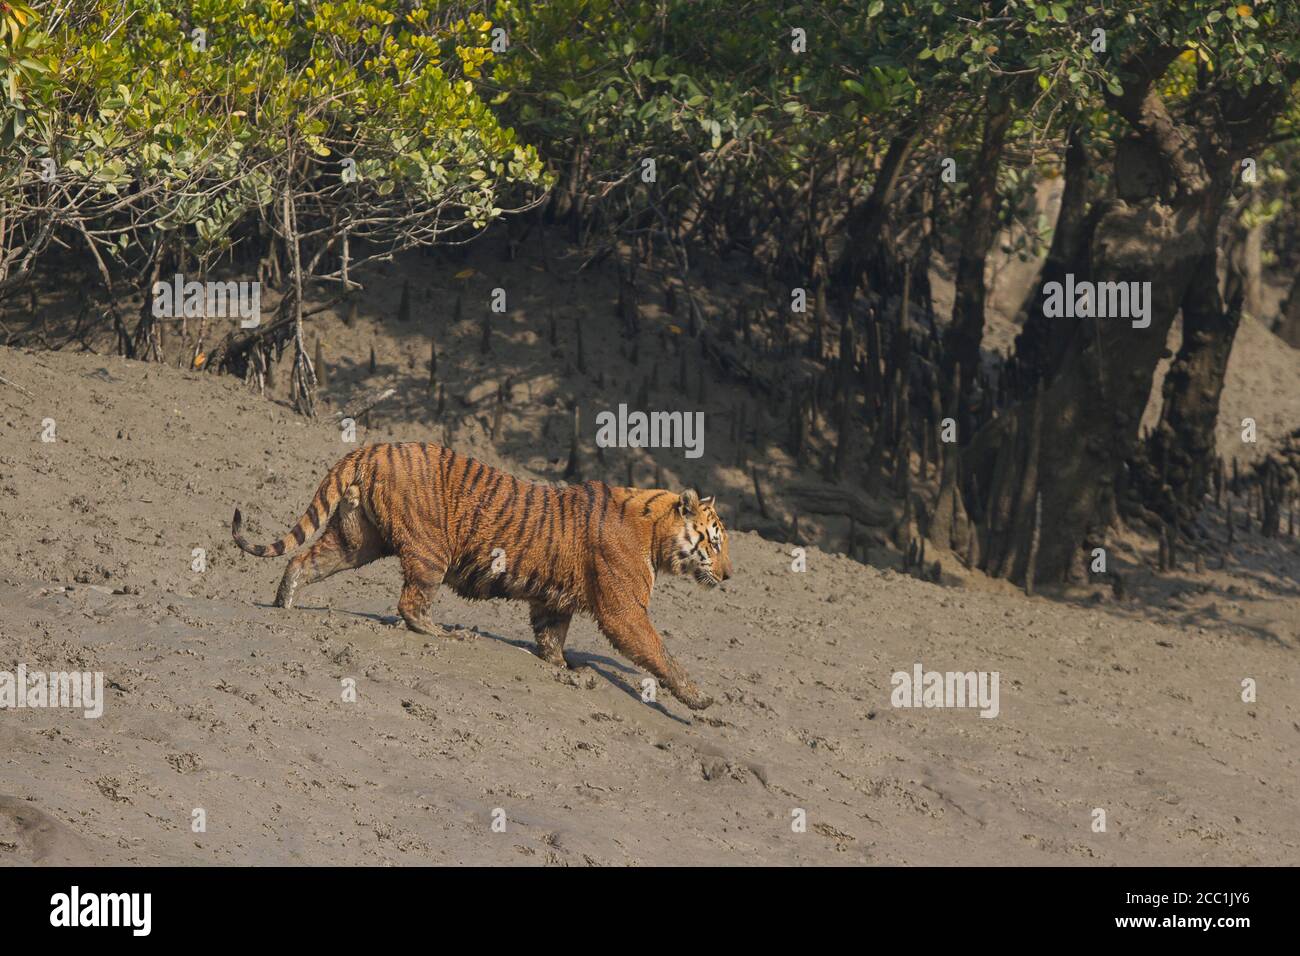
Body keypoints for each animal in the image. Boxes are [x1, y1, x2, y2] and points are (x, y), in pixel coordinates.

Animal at [228, 442, 728, 712]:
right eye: (716, 542)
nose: (728, 576)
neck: (656, 533)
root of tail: (373, 447)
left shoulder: (554, 602)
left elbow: (551, 638)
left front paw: (564, 668)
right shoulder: (624, 609)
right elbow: (660, 653)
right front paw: (700, 699)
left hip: (355, 540)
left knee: (302, 561)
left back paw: (285, 601)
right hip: (430, 550)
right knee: (411, 604)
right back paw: (447, 634)